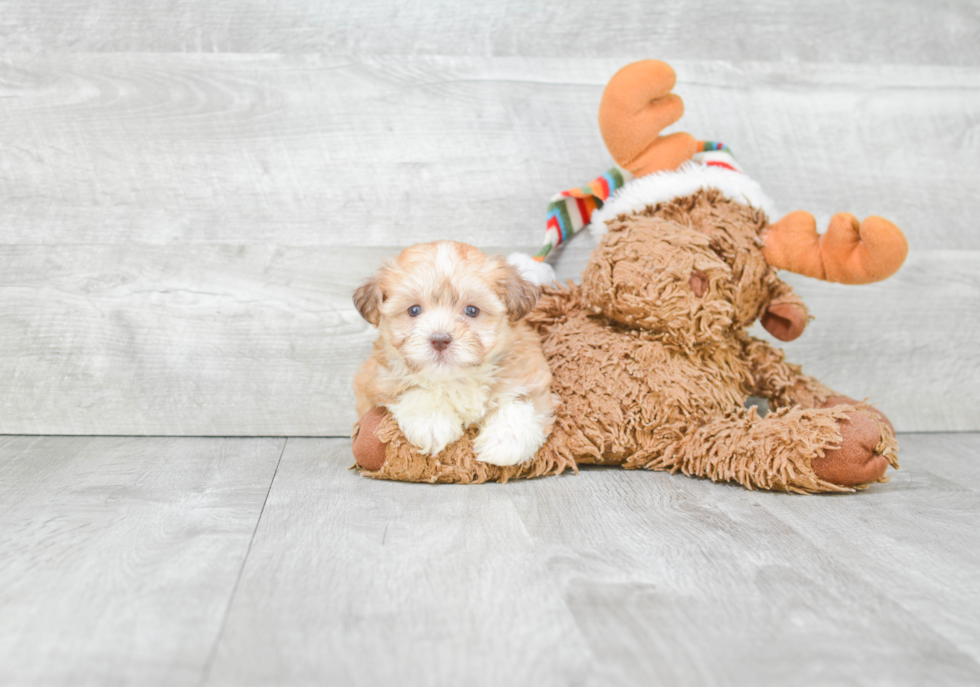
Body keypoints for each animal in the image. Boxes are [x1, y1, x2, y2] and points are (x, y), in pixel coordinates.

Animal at [352, 242, 556, 468]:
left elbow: (521, 403)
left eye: (472, 311)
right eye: (414, 310)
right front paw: (432, 422)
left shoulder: (528, 375)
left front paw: (506, 440)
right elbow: (413, 390)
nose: (440, 340)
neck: (457, 378)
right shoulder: (377, 380)